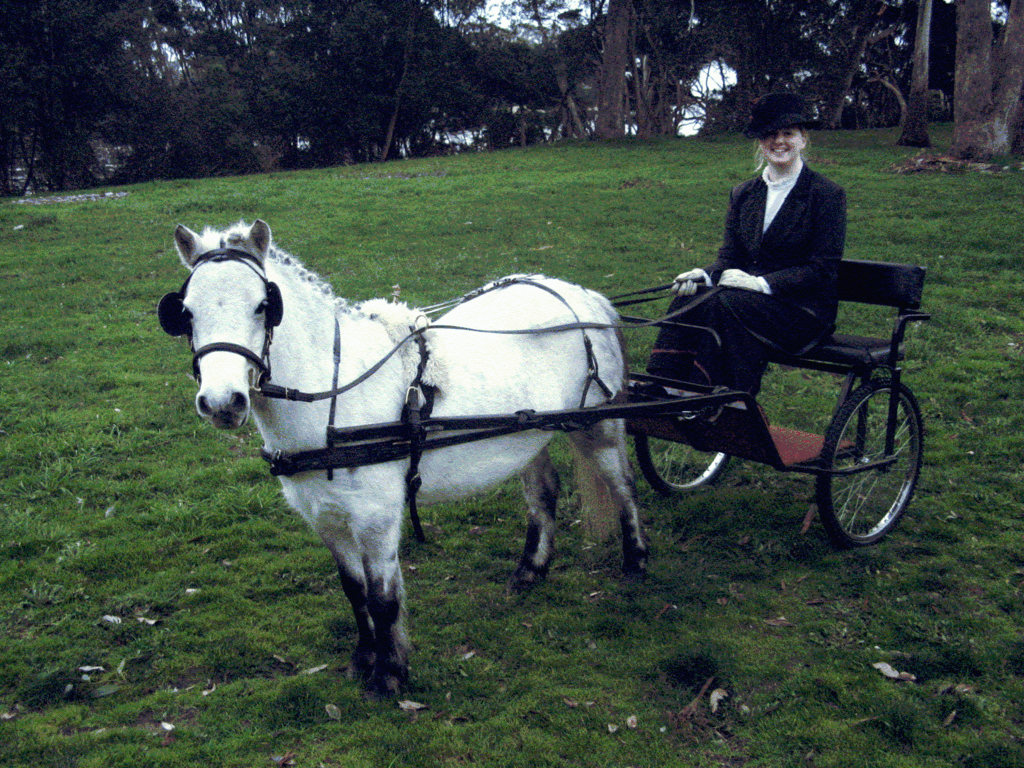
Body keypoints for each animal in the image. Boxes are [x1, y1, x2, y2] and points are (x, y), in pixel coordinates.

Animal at [159, 219, 647, 700]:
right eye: (187, 313)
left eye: (264, 306)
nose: (222, 402)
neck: (335, 393)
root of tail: (584, 296)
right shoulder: (325, 517)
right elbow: (354, 592)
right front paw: (364, 659)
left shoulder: (375, 518)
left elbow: (382, 598)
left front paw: (390, 674)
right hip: (527, 433)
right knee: (544, 494)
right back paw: (531, 570)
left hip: (599, 428)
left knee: (623, 487)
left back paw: (636, 563)